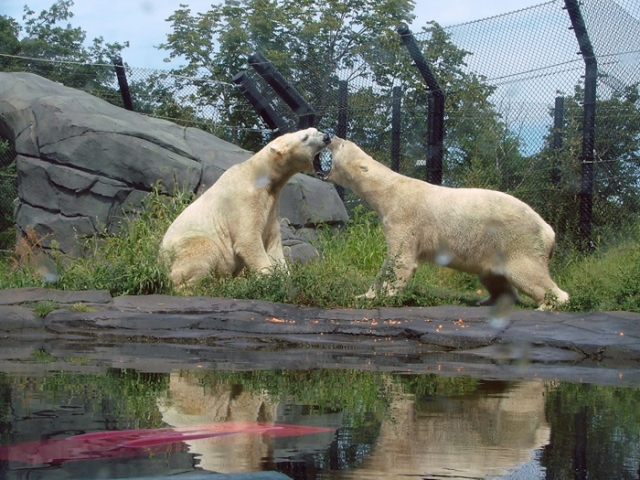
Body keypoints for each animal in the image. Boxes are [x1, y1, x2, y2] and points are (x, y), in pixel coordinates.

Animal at [160, 126, 330, 288]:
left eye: (314, 129)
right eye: (305, 137)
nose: (326, 136)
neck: (260, 178)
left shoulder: (272, 206)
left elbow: (273, 243)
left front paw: (286, 278)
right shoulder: (244, 199)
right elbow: (248, 239)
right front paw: (269, 280)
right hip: (182, 249)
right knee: (202, 250)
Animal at [322, 136, 568, 312]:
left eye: (342, 143)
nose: (330, 135)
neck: (389, 190)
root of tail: (550, 231)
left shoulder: (404, 217)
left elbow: (401, 260)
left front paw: (387, 296)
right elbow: (387, 263)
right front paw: (365, 294)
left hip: (519, 240)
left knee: (526, 272)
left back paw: (548, 304)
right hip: (492, 247)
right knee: (491, 275)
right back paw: (487, 301)